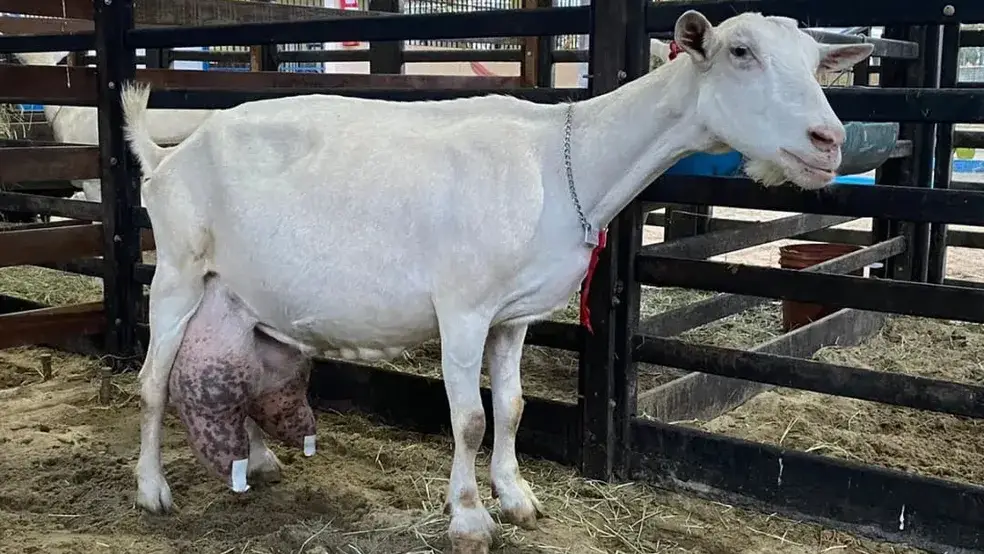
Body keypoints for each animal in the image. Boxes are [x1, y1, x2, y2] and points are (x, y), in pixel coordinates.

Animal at [123, 11, 873, 554]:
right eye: (741, 51)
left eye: (814, 61)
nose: (828, 140)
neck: (567, 161)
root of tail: (166, 154)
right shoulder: (463, 307)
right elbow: (470, 418)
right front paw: (469, 518)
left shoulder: (513, 316)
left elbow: (510, 409)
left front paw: (517, 499)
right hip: (179, 270)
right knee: (153, 381)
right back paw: (152, 491)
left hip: (239, 292)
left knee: (240, 370)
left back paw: (257, 461)